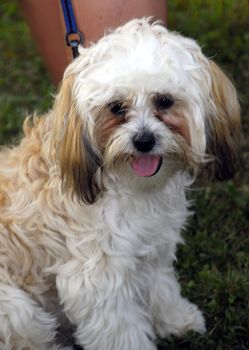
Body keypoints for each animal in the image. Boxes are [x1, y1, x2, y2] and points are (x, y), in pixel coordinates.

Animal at [0, 19, 241, 350]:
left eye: (164, 101)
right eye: (116, 107)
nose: (144, 140)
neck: (126, 184)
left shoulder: (152, 247)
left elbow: (161, 287)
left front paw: (176, 319)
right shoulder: (97, 278)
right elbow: (120, 330)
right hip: (17, 311)